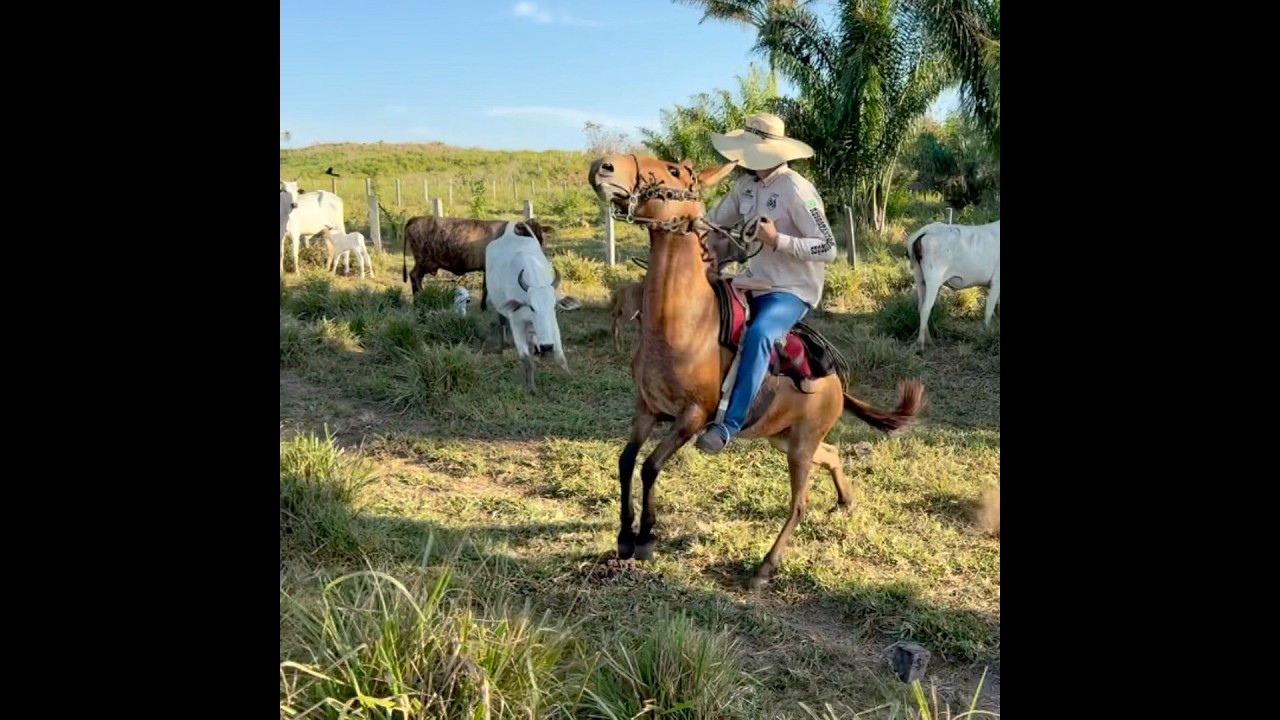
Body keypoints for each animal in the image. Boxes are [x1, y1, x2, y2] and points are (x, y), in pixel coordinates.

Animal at [401, 216, 556, 309]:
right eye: (527, 234)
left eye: (540, 236)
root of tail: (415, 219)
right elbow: (487, 287)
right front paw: (484, 306)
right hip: (423, 261)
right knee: (414, 276)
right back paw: (419, 299)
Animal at [484, 221, 567, 391]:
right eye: (532, 307)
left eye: (554, 307)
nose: (546, 346)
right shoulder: (517, 323)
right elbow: (527, 360)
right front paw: (531, 387)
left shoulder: (551, 322)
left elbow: (560, 355)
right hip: (500, 308)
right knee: (501, 322)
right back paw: (502, 348)